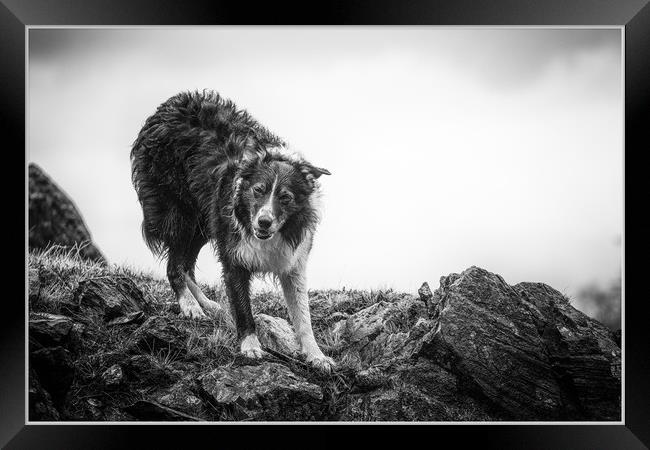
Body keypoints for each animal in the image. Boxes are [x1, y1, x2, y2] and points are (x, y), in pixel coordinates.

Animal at [130, 89, 334, 370]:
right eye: (258, 190)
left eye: (285, 197)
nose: (263, 222)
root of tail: (169, 105)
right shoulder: (235, 256)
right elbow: (243, 308)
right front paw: (250, 347)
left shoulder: (294, 262)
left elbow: (303, 316)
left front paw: (316, 355)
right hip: (180, 214)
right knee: (174, 265)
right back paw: (190, 306)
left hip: (204, 221)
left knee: (185, 264)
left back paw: (205, 303)